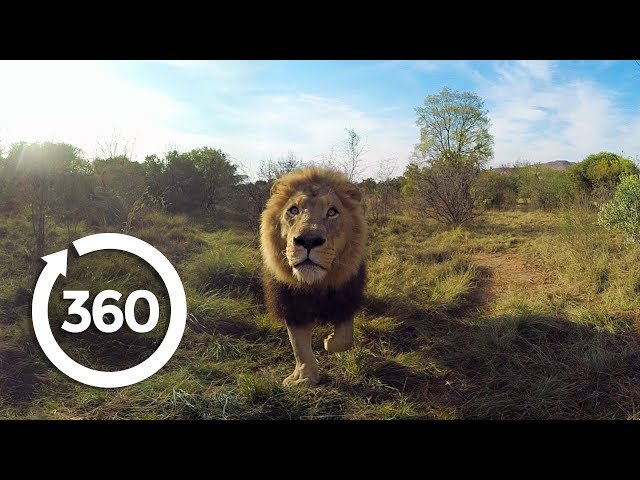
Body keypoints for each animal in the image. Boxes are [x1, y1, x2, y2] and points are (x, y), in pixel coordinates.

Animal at [260, 167, 367, 387]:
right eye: (293, 210)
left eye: (332, 212)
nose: (308, 240)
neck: (315, 283)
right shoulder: (292, 305)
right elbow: (299, 345)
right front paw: (303, 378)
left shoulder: (347, 295)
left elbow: (345, 337)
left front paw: (328, 342)